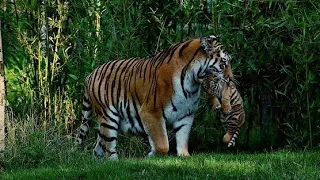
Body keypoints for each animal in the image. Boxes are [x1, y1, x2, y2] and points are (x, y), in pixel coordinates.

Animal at [78, 35, 230, 160]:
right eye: (223, 63)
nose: (230, 78)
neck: (192, 81)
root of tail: (90, 74)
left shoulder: (185, 115)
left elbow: (183, 138)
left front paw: (184, 156)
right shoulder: (151, 112)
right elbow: (162, 144)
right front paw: (151, 155)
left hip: (105, 122)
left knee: (98, 145)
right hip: (109, 116)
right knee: (110, 146)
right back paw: (114, 161)